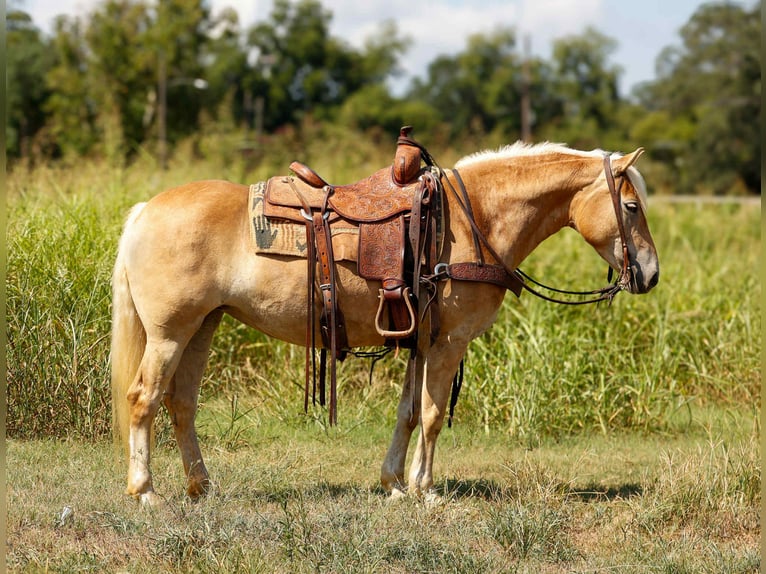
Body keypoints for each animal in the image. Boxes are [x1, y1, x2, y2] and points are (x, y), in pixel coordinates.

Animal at [111, 142, 659, 505]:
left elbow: (409, 413)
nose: (650, 274)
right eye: (631, 206)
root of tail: (143, 212)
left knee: (181, 405)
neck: (474, 220)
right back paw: (146, 492)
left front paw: (394, 484)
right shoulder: (450, 343)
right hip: (169, 334)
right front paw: (426, 490)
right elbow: (433, 415)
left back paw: (201, 486)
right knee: (143, 399)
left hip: (202, 327)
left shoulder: (423, 340)